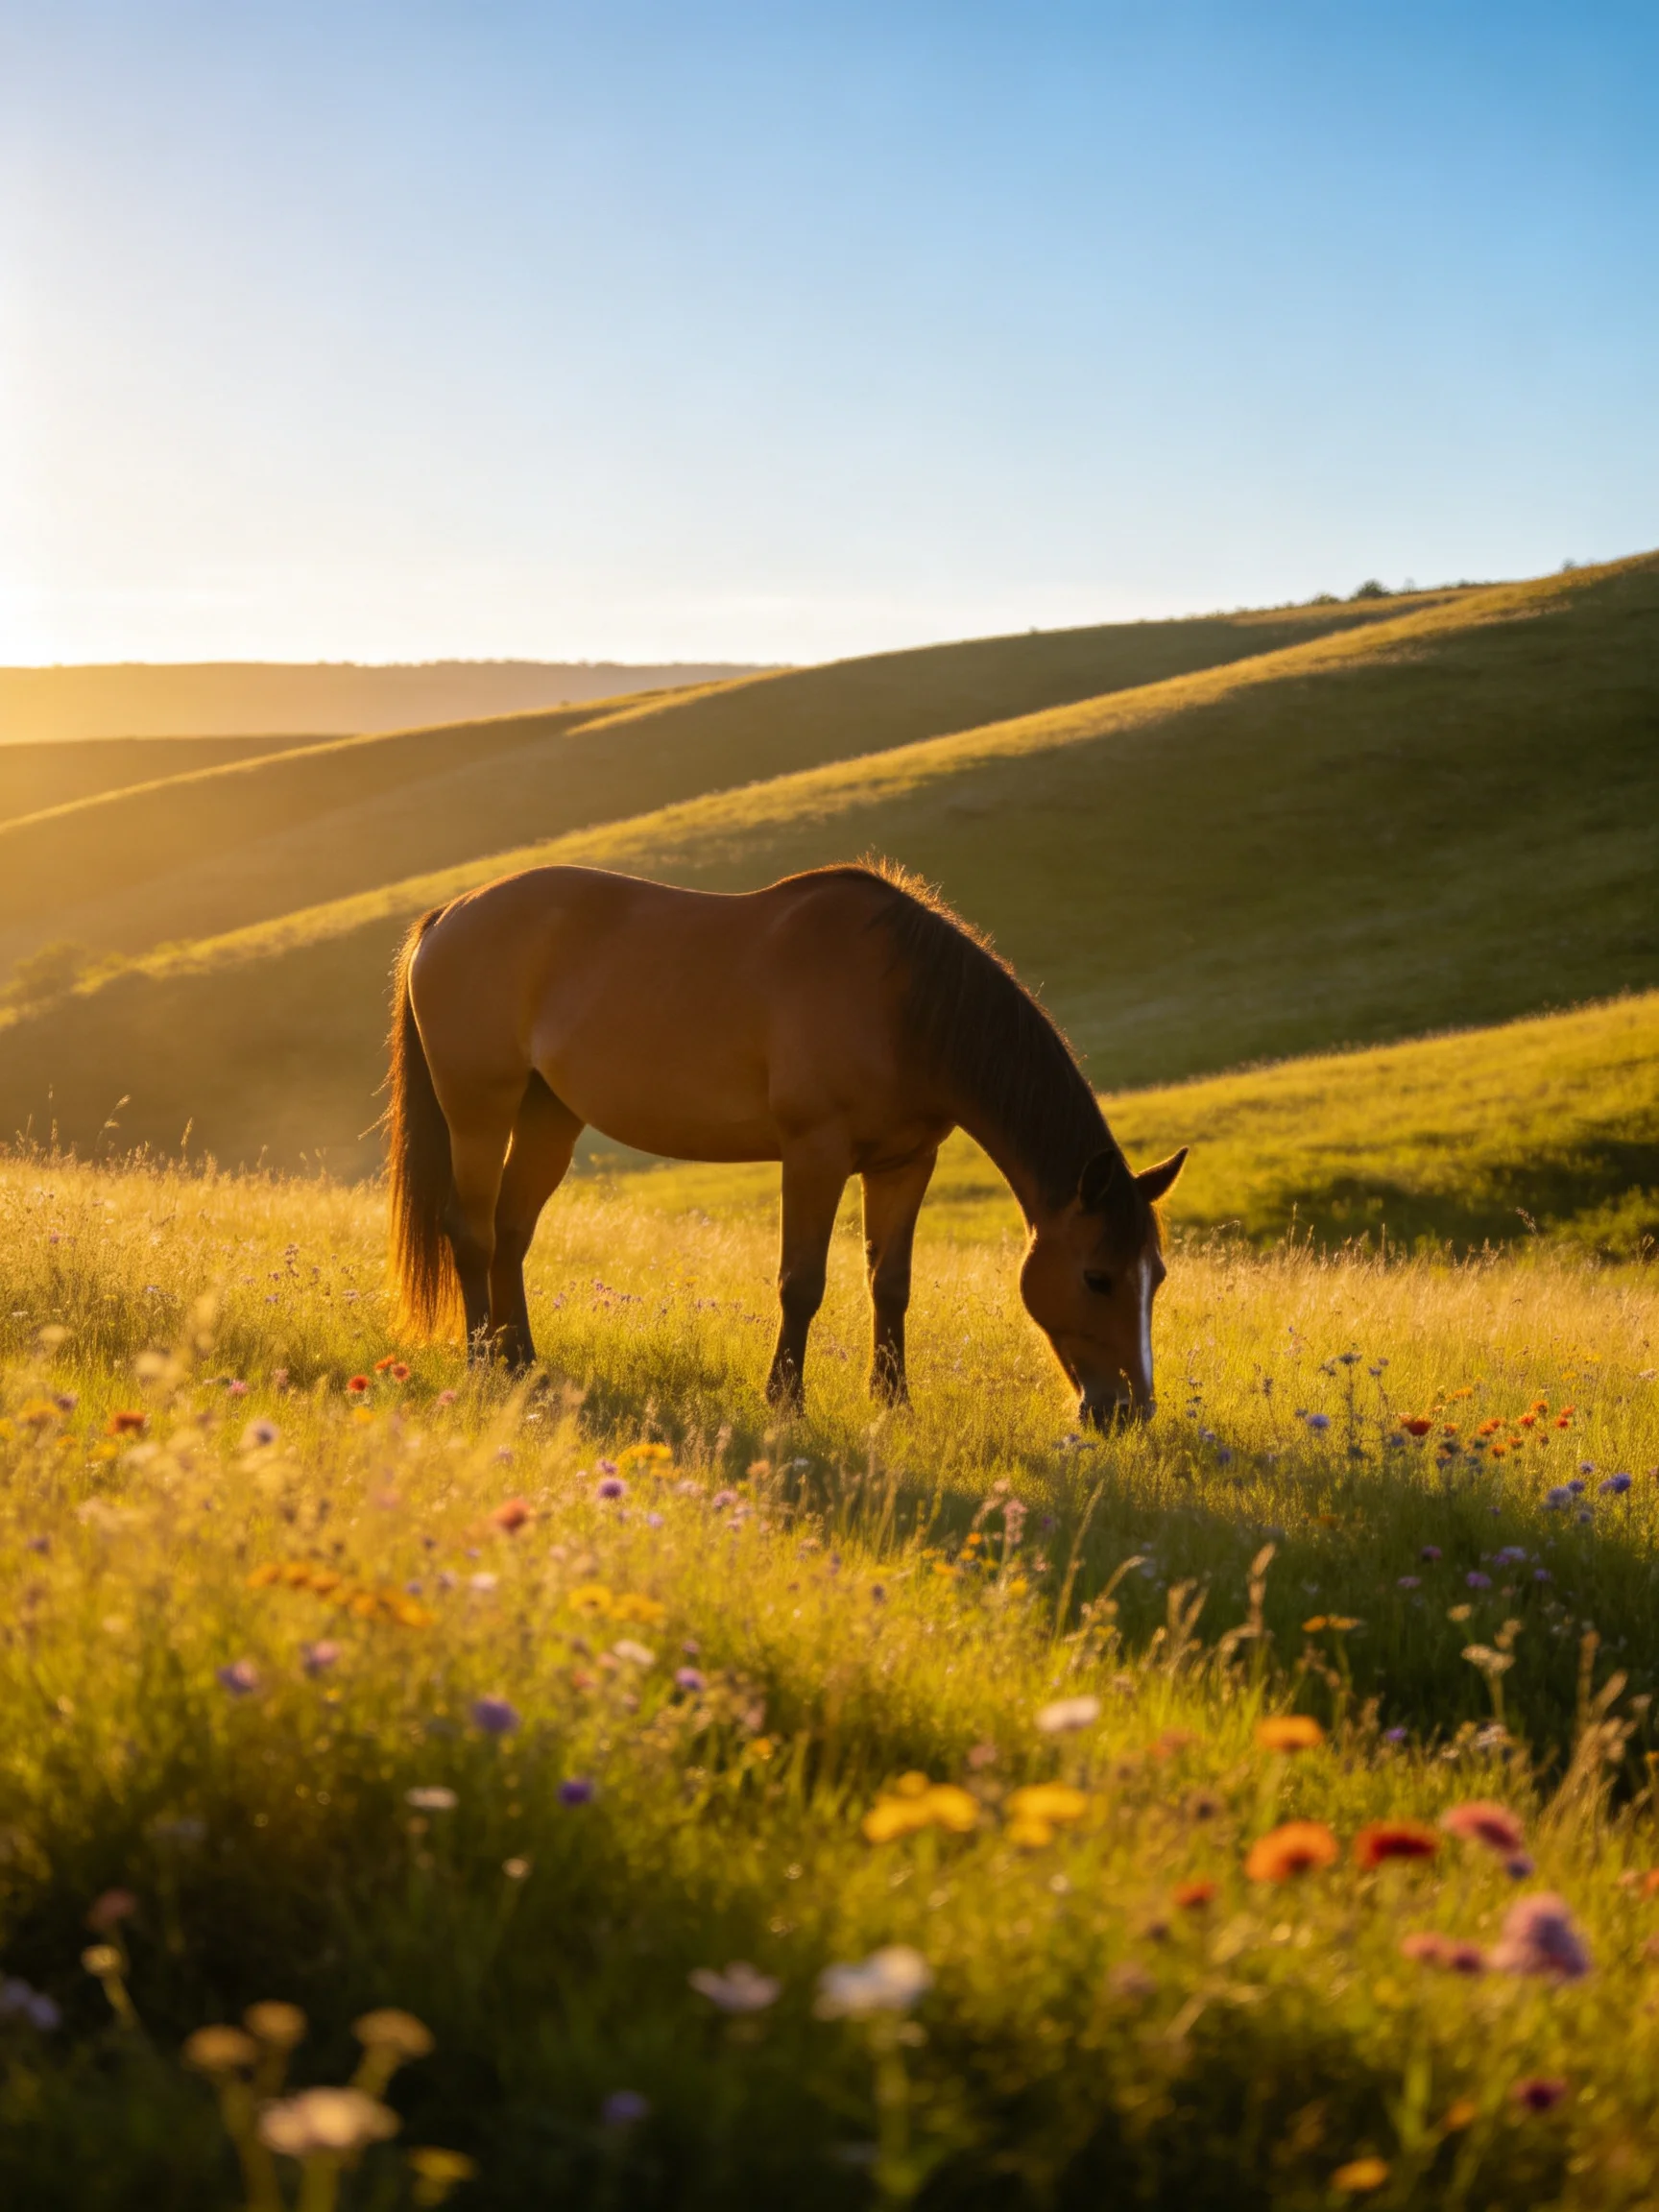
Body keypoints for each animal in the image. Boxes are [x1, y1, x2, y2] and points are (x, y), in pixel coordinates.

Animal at [385, 861, 1187, 1425]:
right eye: (1096, 1277)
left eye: (1157, 1276)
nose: (1128, 1414)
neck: (901, 1004)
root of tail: (449, 916)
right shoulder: (814, 1155)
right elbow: (802, 1283)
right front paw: (785, 1401)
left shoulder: (905, 1165)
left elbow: (890, 1285)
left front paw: (893, 1403)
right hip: (479, 1111)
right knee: (474, 1233)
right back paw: (482, 1364)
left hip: (550, 1116)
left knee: (513, 1232)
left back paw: (521, 1362)